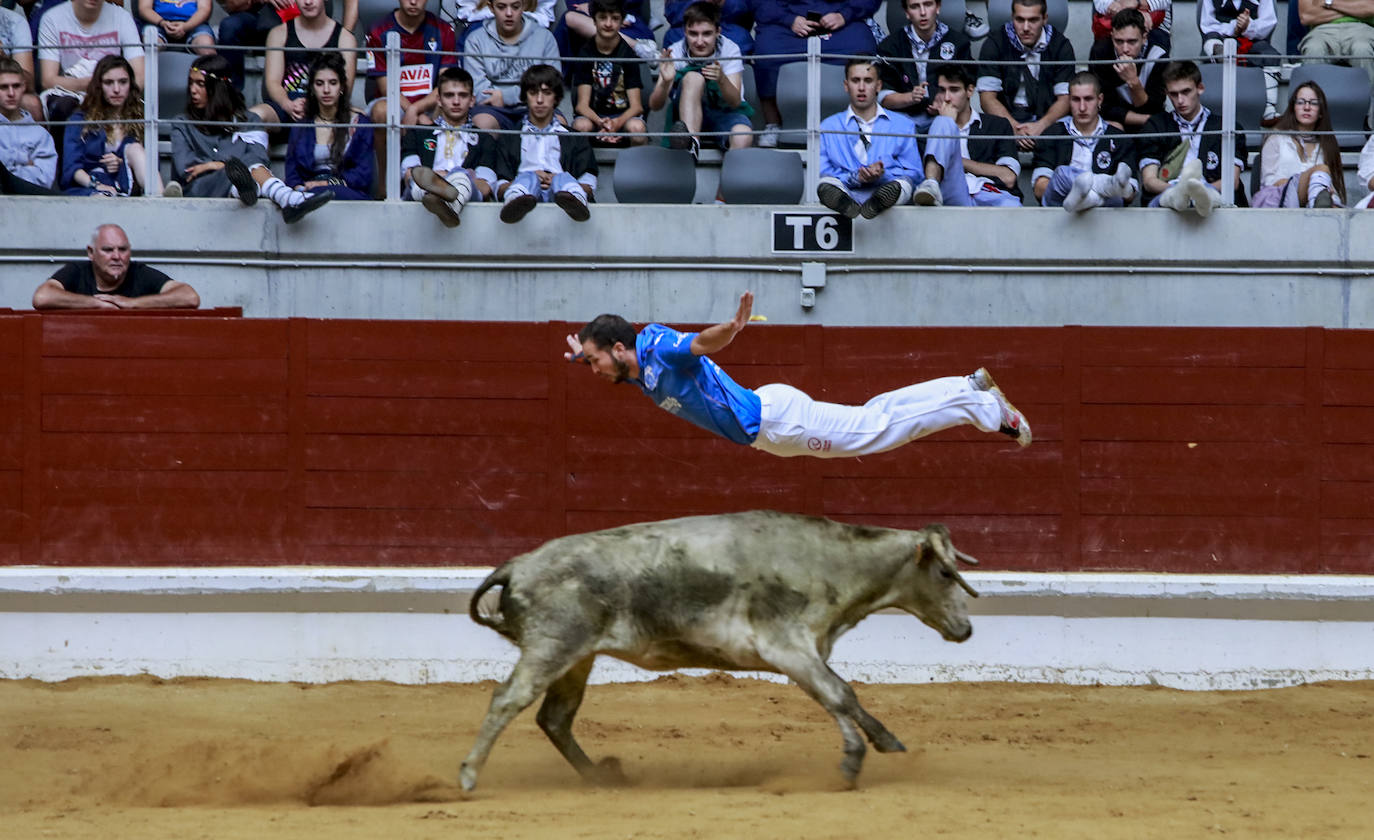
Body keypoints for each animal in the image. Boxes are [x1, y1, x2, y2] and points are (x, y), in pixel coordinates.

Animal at [461, 508, 978, 791]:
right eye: (945, 573)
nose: (966, 628)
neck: (829, 561)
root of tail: (517, 564)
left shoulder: (806, 651)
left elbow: (841, 696)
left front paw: (888, 743)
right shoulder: (788, 647)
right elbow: (838, 694)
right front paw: (852, 762)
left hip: (577, 658)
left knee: (555, 718)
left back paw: (601, 779)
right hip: (552, 647)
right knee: (507, 700)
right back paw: (468, 776)